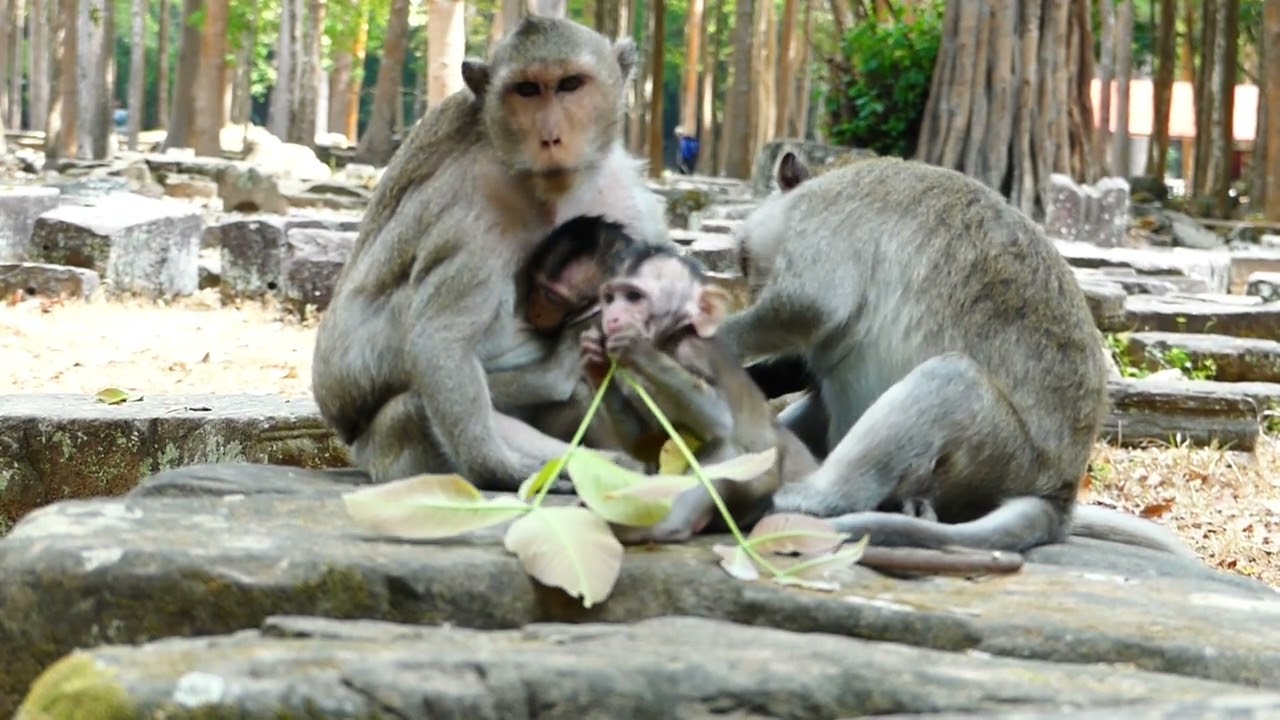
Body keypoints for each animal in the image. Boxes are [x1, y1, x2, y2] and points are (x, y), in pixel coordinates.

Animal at [311, 17, 672, 490]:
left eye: (571, 84)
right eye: (527, 90)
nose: (551, 138)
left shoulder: (629, 201)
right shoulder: (473, 215)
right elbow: (441, 340)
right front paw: (498, 468)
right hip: (388, 448)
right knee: (417, 403)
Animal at [579, 245, 821, 544]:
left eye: (633, 297)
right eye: (610, 298)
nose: (611, 317)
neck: (669, 341)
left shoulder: (691, 351)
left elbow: (720, 421)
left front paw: (639, 349)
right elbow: (643, 441)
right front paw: (596, 361)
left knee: (726, 449)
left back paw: (665, 525)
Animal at [716, 151, 1196, 559]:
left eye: (743, 260)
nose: (750, 286)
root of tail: (1060, 495)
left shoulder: (822, 218)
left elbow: (811, 306)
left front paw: (715, 337)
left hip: (999, 456)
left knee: (950, 380)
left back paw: (813, 495)